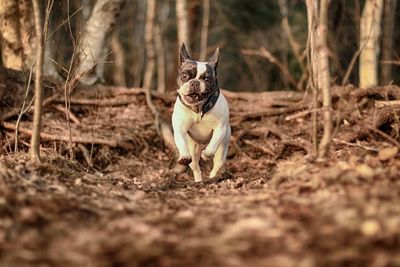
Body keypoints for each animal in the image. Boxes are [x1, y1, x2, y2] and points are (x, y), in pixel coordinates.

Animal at [172, 44, 231, 183]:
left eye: (207, 79)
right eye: (185, 76)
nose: (195, 82)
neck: (199, 109)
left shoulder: (220, 128)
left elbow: (212, 147)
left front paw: (206, 155)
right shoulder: (179, 128)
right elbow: (180, 141)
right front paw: (184, 156)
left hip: (222, 149)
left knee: (216, 166)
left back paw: (213, 177)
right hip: (193, 149)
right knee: (196, 167)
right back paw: (198, 180)